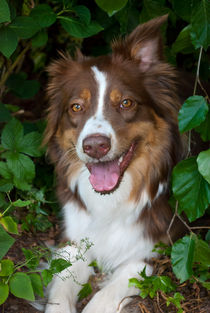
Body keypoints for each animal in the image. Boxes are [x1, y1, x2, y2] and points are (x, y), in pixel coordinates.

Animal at [43, 14, 183, 312]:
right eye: (76, 107)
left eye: (126, 103)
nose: (95, 146)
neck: (110, 201)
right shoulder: (74, 242)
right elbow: (59, 292)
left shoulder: (149, 255)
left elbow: (104, 298)